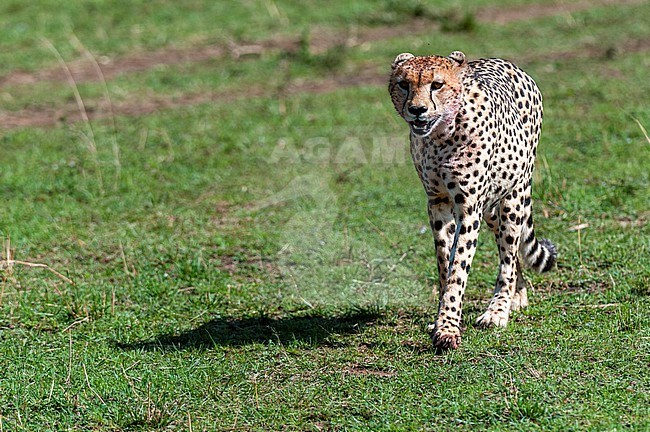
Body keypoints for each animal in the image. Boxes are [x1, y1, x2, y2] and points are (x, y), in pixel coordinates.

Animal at [388, 49, 556, 352]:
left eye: (437, 85)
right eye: (403, 84)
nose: (417, 110)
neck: (440, 136)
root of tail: (506, 62)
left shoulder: (468, 207)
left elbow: (459, 268)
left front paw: (447, 330)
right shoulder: (437, 202)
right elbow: (445, 262)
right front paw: (442, 320)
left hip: (513, 196)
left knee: (508, 255)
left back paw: (498, 310)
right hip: (491, 206)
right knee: (509, 250)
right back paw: (518, 294)